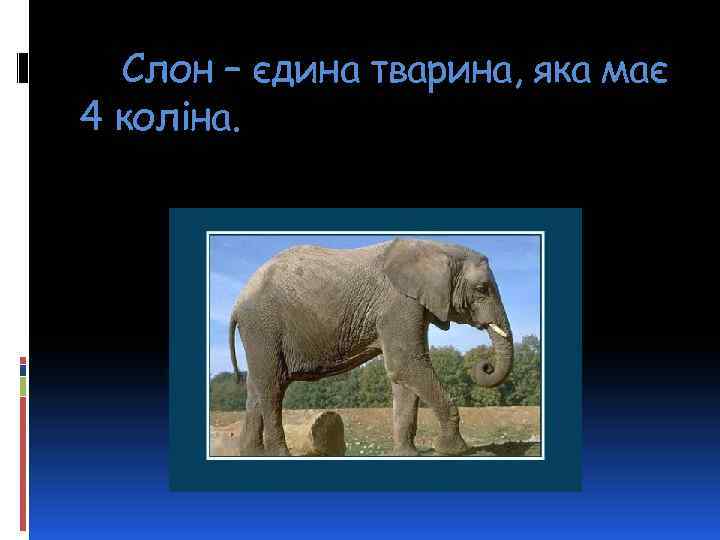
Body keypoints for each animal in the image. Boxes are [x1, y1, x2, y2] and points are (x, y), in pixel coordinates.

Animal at [228, 238, 513, 456]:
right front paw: (453, 450)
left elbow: (403, 374)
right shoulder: (398, 303)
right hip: (263, 326)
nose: (484, 365)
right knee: (272, 386)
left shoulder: (411, 305)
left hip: (259, 333)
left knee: (255, 387)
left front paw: (406, 455)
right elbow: (406, 364)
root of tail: (237, 302)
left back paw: (252, 454)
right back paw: (280, 454)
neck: (437, 247)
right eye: (482, 288)